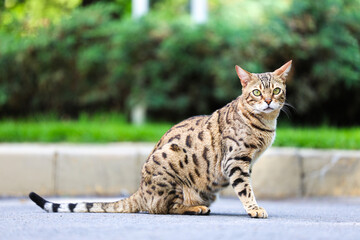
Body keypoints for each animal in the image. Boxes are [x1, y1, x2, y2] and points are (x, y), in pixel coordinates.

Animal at [28, 60, 292, 218]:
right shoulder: (235, 160)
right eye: (256, 92)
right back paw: (195, 208)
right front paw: (254, 209)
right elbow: (245, 188)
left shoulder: (245, 162)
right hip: (170, 166)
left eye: (276, 90)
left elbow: (246, 186)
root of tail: (139, 191)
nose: (268, 101)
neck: (266, 125)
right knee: (165, 208)